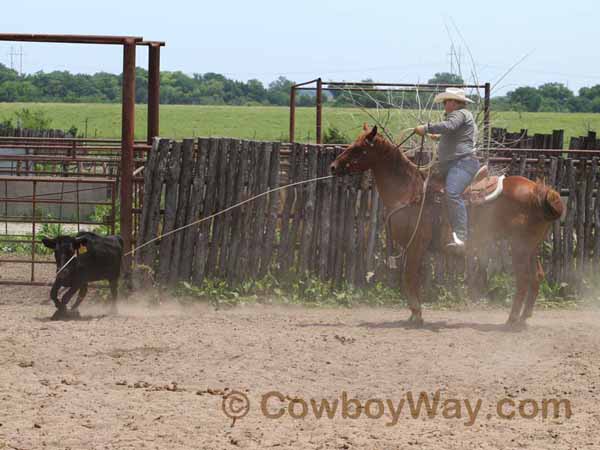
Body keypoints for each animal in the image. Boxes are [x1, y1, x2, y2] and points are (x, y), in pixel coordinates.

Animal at [330, 125, 564, 328]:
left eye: (358, 147)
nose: (333, 167)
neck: (409, 192)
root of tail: (540, 192)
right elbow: (411, 278)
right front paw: (413, 314)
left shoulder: (416, 245)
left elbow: (409, 277)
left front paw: (417, 314)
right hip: (531, 248)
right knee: (537, 276)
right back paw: (523, 318)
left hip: (519, 247)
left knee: (524, 279)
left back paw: (512, 320)